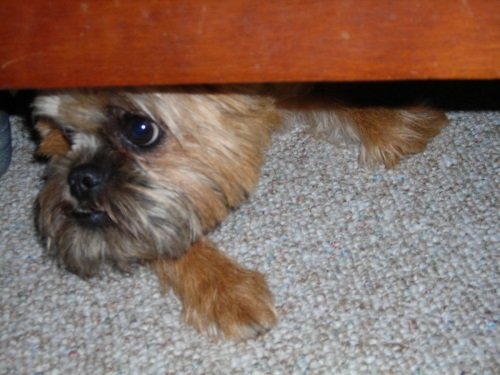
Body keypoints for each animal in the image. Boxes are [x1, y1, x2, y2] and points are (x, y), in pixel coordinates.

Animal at [32, 84, 446, 340]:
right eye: (67, 133)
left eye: (139, 129)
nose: (79, 178)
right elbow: (169, 236)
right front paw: (224, 287)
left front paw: (391, 121)